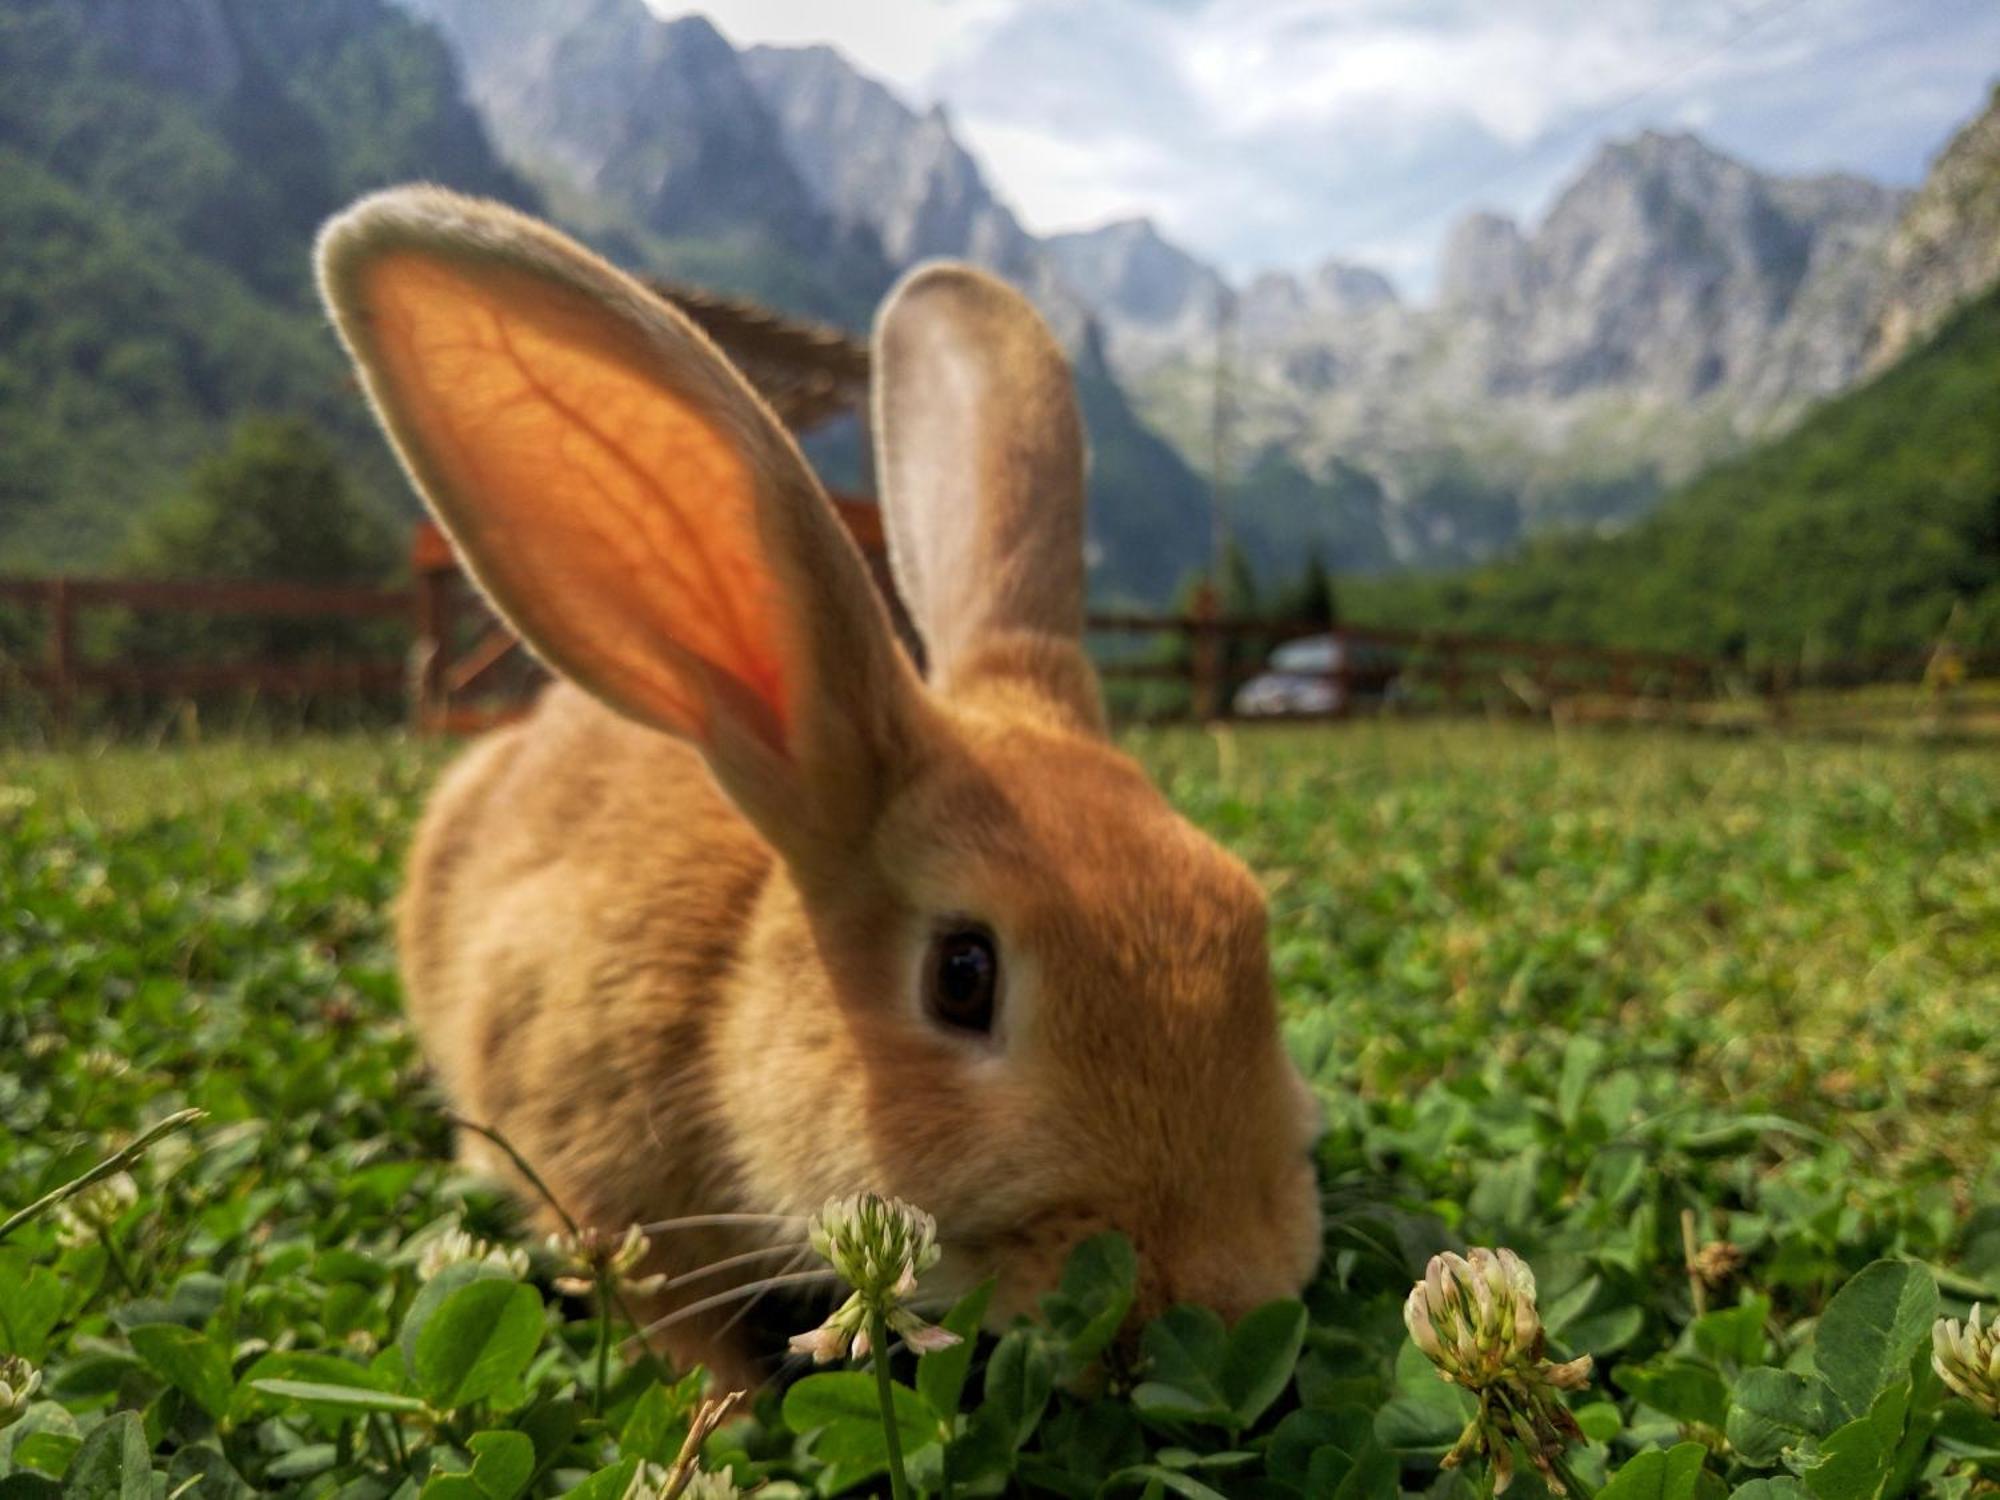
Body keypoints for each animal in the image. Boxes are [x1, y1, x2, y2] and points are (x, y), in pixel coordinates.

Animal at [316, 191, 1328, 1400]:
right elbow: (664, 1322)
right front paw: (735, 1410)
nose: (1229, 1291)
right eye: (961, 976)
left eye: (1241, 911)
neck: (731, 988)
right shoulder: (594, 1180)